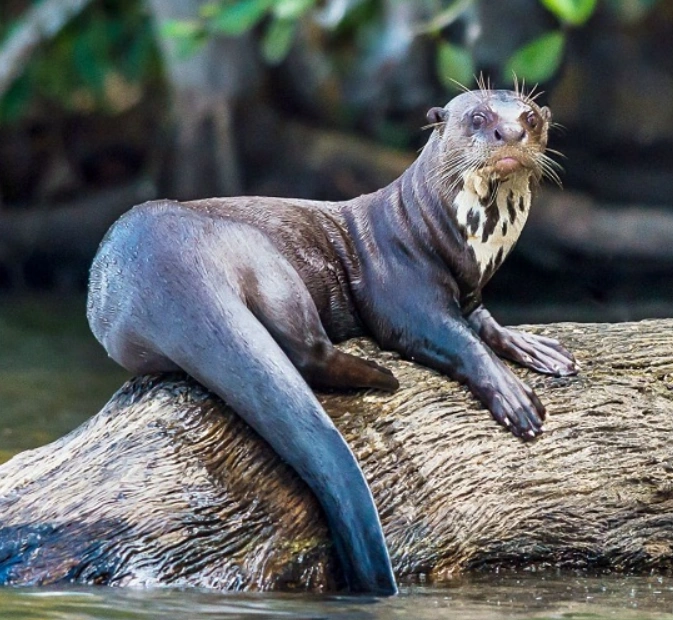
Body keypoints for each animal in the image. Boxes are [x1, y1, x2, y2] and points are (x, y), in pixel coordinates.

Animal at [87, 88, 577, 595]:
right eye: (478, 117)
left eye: (530, 117)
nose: (510, 132)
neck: (442, 235)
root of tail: (166, 267)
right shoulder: (402, 291)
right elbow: (453, 338)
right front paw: (513, 396)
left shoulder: (471, 291)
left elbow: (485, 323)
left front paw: (537, 348)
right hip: (263, 258)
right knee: (306, 350)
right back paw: (382, 377)